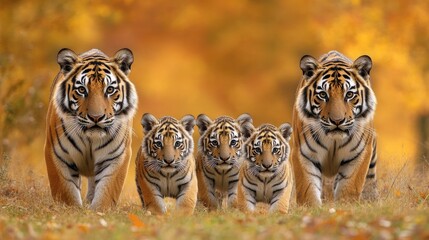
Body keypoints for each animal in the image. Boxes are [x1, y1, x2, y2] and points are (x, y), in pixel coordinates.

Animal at [43, 47, 137, 210]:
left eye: (110, 90)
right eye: (81, 89)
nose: (96, 117)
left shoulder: (116, 156)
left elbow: (106, 193)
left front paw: (98, 211)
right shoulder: (57, 153)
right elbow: (65, 191)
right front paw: (71, 210)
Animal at [290, 50, 378, 206]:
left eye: (349, 94)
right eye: (322, 95)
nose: (337, 121)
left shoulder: (360, 153)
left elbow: (349, 188)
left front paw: (346, 207)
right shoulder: (303, 153)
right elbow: (307, 189)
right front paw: (311, 208)